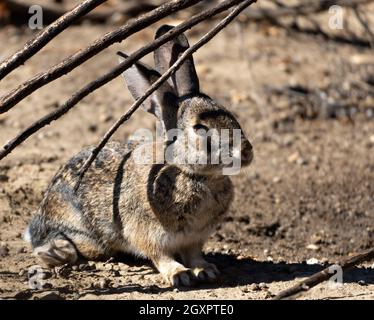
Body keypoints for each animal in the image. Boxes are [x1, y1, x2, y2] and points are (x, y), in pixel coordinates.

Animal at [24, 23, 254, 286]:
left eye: (231, 115)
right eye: (200, 128)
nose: (246, 150)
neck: (192, 174)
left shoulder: (195, 238)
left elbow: (194, 255)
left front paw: (205, 270)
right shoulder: (147, 231)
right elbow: (160, 255)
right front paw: (179, 274)